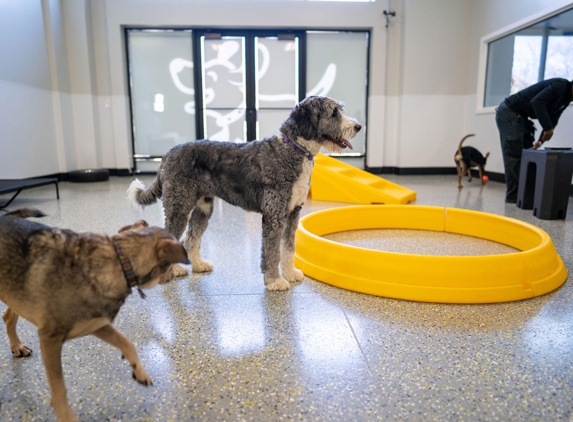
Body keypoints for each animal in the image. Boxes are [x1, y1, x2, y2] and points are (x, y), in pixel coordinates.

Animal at [0, 209, 190, 422]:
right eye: (170, 265)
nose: (173, 275)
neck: (119, 263)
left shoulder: (96, 324)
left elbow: (127, 343)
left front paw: (139, 371)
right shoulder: (50, 340)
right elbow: (59, 388)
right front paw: (66, 416)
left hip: (16, 292)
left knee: (8, 317)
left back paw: (16, 345)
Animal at [130, 97, 362, 292]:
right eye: (333, 113)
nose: (358, 127)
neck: (292, 150)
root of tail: (169, 153)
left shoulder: (292, 213)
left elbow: (288, 248)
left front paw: (290, 273)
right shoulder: (274, 215)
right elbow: (272, 252)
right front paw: (275, 281)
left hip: (203, 207)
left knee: (191, 237)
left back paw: (199, 265)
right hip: (179, 205)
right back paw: (173, 271)